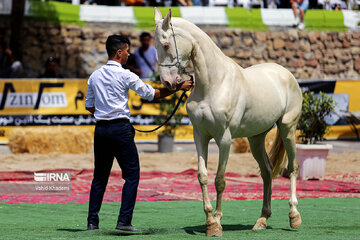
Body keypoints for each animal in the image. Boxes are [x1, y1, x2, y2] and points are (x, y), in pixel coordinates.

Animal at [153, 8, 302, 236]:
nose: (168, 83)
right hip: (256, 139)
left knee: (292, 167)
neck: (214, 84)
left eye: (167, 44)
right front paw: (209, 221)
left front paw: (216, 223)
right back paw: (262, 220)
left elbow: (220, 180)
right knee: (267, 172)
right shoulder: (200, 136)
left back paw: (294, 216)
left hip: (288, 129)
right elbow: (203, 176)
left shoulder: (224, 138)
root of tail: (286, 74)